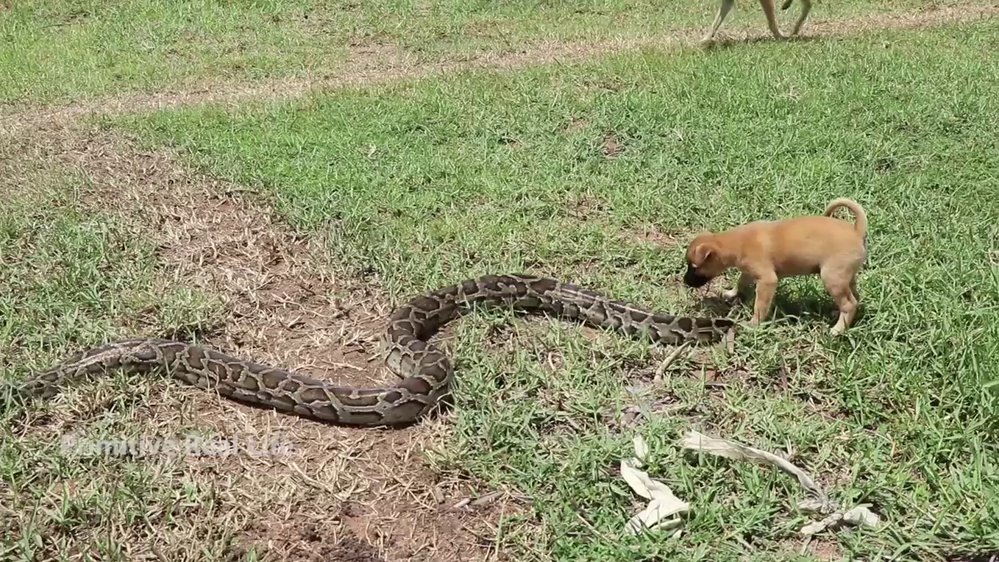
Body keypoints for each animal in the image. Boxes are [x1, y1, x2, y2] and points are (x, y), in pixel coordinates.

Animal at [688, 199, 868, 334]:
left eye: (694, 267)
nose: (685, 282)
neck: (735, 242)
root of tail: (856, 231)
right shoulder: (748, 272)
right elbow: (741, 282)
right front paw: (732, 293)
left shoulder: (767, 281)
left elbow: (759, 305)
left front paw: (754, 324)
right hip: (846, 277)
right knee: (855, 298)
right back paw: (839, 315)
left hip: (832, 277)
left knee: (849, 304)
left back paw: (838, 329)